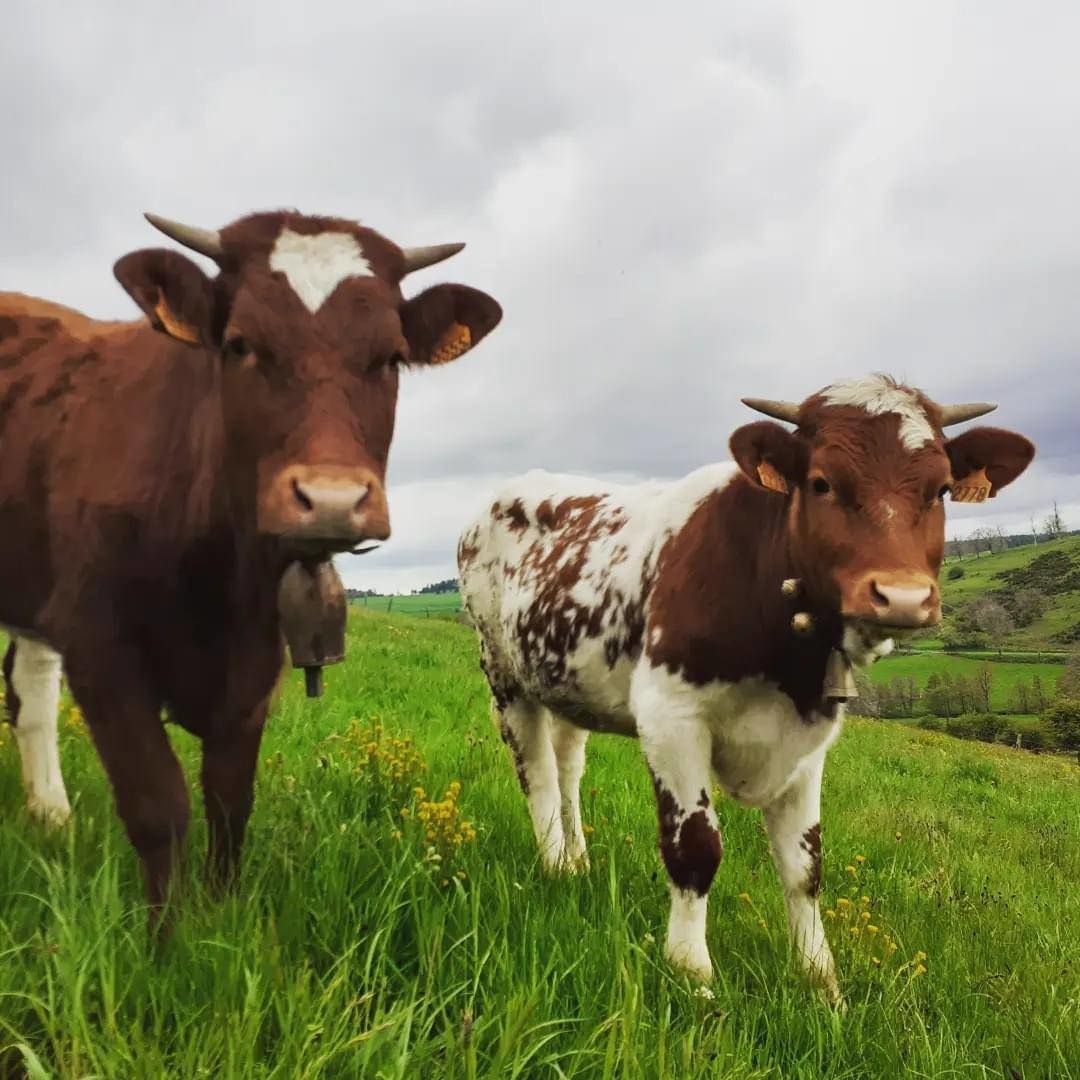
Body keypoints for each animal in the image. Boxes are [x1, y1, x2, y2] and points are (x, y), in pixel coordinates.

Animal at [0, 208, 501, 920]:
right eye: (239, 344)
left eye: (391, 357)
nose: (331, 499)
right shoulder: (100, 646)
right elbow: (159, 807)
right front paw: (170, 933)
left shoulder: (255, 664)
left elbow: (230, 801)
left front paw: (220, 914)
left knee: (32, 687)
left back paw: (51, 816)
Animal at [453, 378, 1028, 1002]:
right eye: (821, 482)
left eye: (941, 489)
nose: (902, 597)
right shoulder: (671, 718)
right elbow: (696, 850)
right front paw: (693, 974)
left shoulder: (809, 740)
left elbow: (805, 867)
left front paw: (821, 982)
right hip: (503, 675)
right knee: (536, 774)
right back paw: (555, 864)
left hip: (564, 682)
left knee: (566, 768)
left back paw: (577, 860)